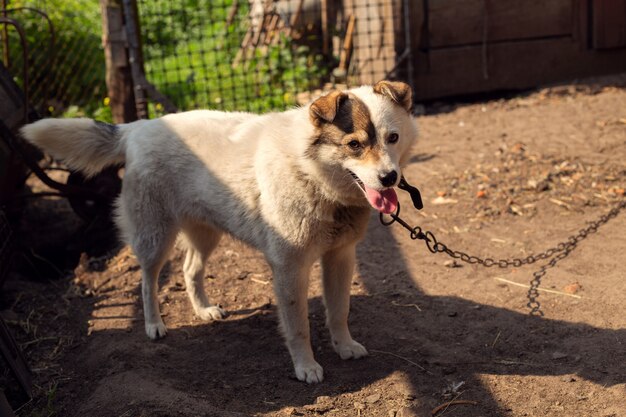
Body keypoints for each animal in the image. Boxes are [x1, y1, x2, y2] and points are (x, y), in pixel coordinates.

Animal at [22, 79, 416, 382]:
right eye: (354, 145)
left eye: (393, 138)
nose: (389, 178)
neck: (312, 175)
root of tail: (139, 126)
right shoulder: (290, 268)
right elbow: (299, 326)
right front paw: (306, 367)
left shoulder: (340, 257)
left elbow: (339, 311)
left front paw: (344, 346)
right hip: (155, 237)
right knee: (147, 281)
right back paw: (154, 325)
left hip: (205, 235)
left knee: (189, 270)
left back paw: (204, 311)